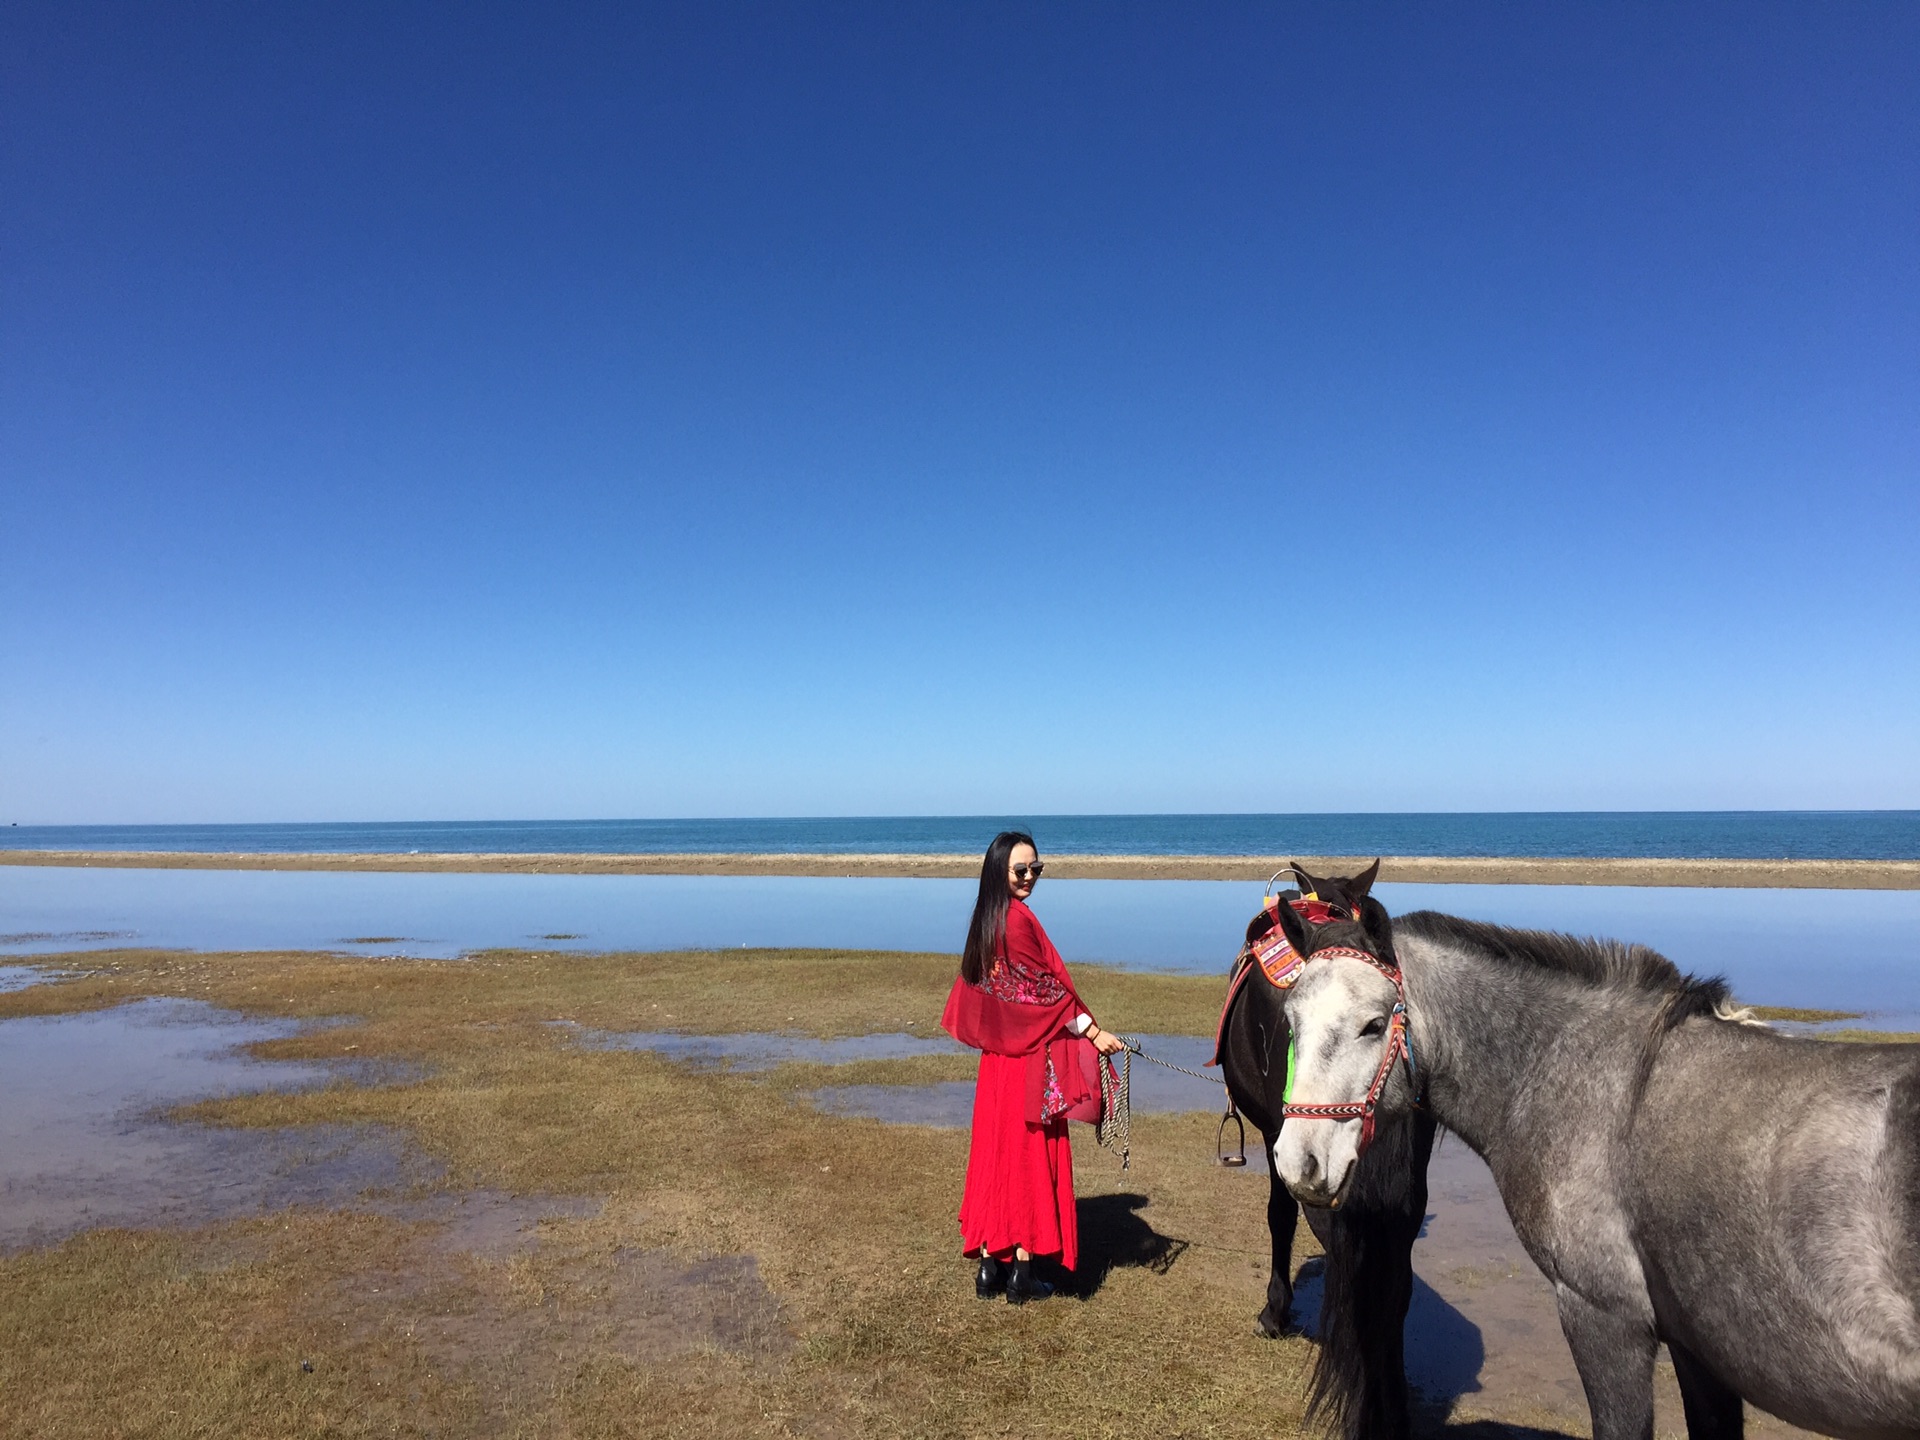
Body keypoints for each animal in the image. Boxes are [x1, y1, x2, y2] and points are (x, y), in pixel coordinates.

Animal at [1259, 906, 1920, 1436]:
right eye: (1289, 1022)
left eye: (1374, 1024)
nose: (1298, 1161)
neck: (1591, 1079)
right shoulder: (1697, 1351)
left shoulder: (1603, 1320)